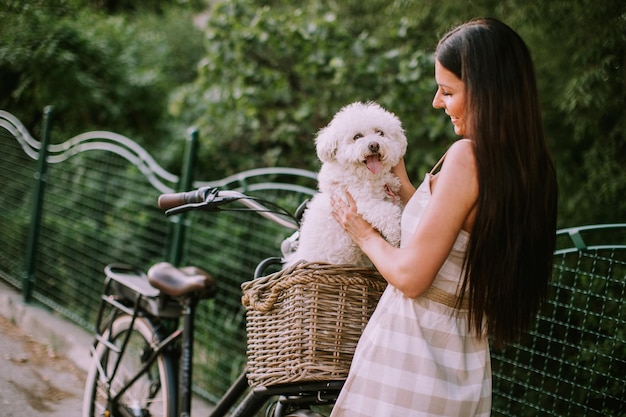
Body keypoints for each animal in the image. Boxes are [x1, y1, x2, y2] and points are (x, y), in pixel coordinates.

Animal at [282, 101, 404, 266]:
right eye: (357, 136)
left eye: (380, 133)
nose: (374, 145)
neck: (369, 178)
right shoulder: (363, 203)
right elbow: (390, 213)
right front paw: (395, 236)